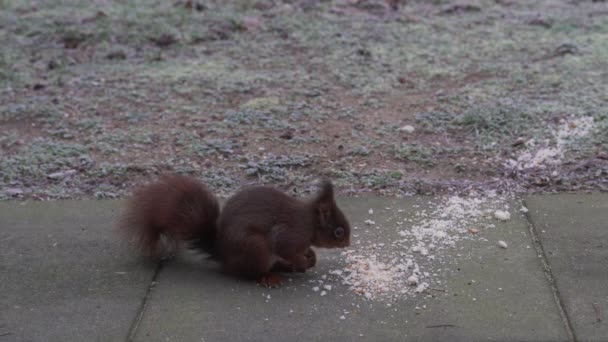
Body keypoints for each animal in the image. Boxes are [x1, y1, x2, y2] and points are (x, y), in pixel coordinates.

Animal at [119, 175, 350, 288]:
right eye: (338, 232)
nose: (347, 243)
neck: (309, 223)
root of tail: (223, 255)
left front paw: (310, 257)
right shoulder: (291, 232)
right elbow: (284, 246)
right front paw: (302, 262)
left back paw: (285, 267)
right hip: (256, 248)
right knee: (250, 272)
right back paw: (269, 277)